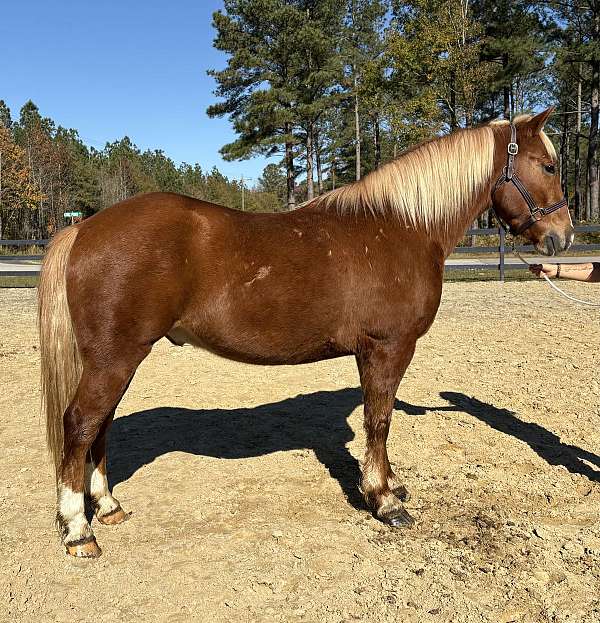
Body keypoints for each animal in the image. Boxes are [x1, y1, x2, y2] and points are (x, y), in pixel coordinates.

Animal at [39, 106, 576, 556]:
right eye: (548, 166)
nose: (563, 237)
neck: (402, 226)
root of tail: (84, 228)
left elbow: (379, 420)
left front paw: (391, 484)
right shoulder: (388, 348)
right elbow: (379, 420)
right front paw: (384, 500)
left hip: (117, 360)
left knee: (101, 426)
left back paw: (108, 507)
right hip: (115, 357)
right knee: (81, 423)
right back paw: (78, 530)